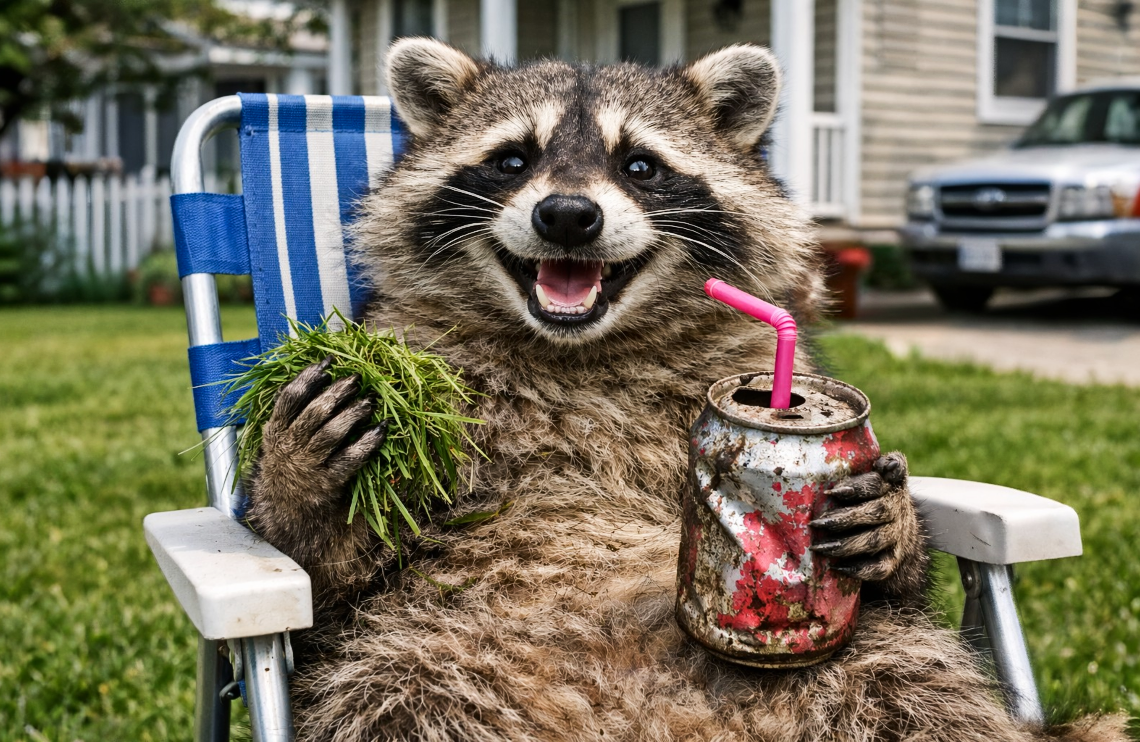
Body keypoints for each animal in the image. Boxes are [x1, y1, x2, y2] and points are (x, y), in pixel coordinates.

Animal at [245, 39, 1128, 742]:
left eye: (639, 165)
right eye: (512, 159)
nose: (568, 215)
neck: (580, 349)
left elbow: (900, 595)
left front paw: (892, 526)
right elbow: (328, 583)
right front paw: (306, 481)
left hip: (866, 673)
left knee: (917, 686)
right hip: (428, 656)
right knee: (391, 695)